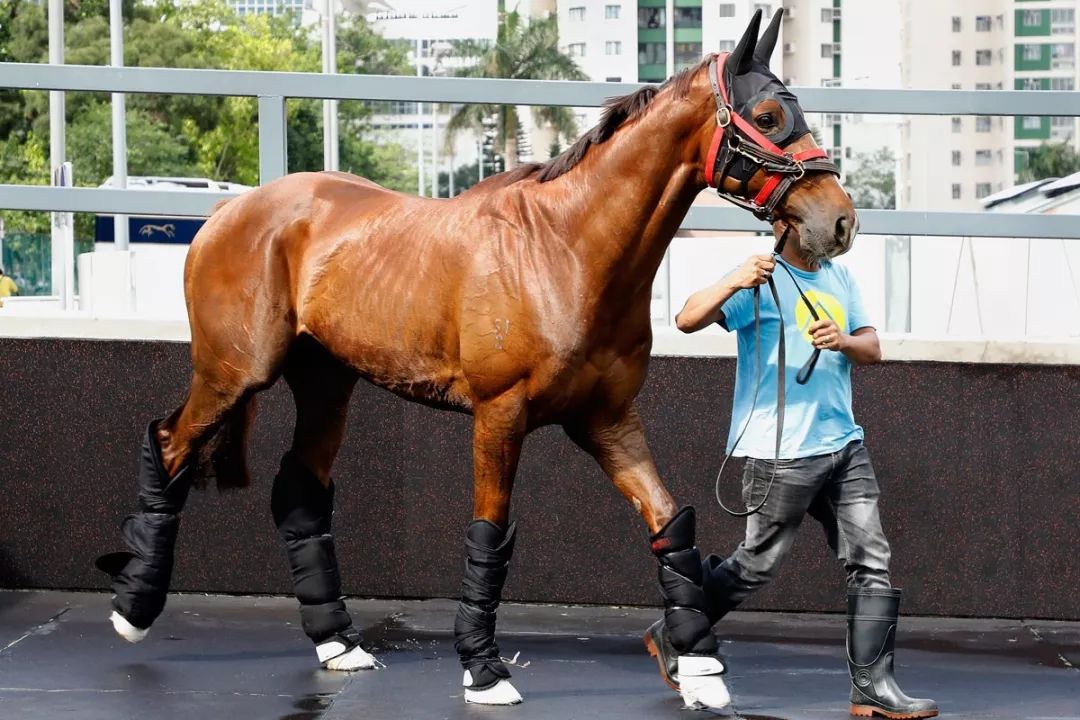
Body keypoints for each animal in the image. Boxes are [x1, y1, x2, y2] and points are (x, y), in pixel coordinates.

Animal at [101, 8, 855, 712]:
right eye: (768, 115)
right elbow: (490, 533)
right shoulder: (500, 415)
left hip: (326, 384)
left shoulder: (608, 419)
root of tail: (226, 217)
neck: (564, 249)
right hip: (234, 374)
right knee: (170, 444)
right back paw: (134, 609)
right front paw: (484, 670)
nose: (839, 220)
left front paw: (699, 666)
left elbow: (669, 522)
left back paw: (338, 642)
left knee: (299, 491)